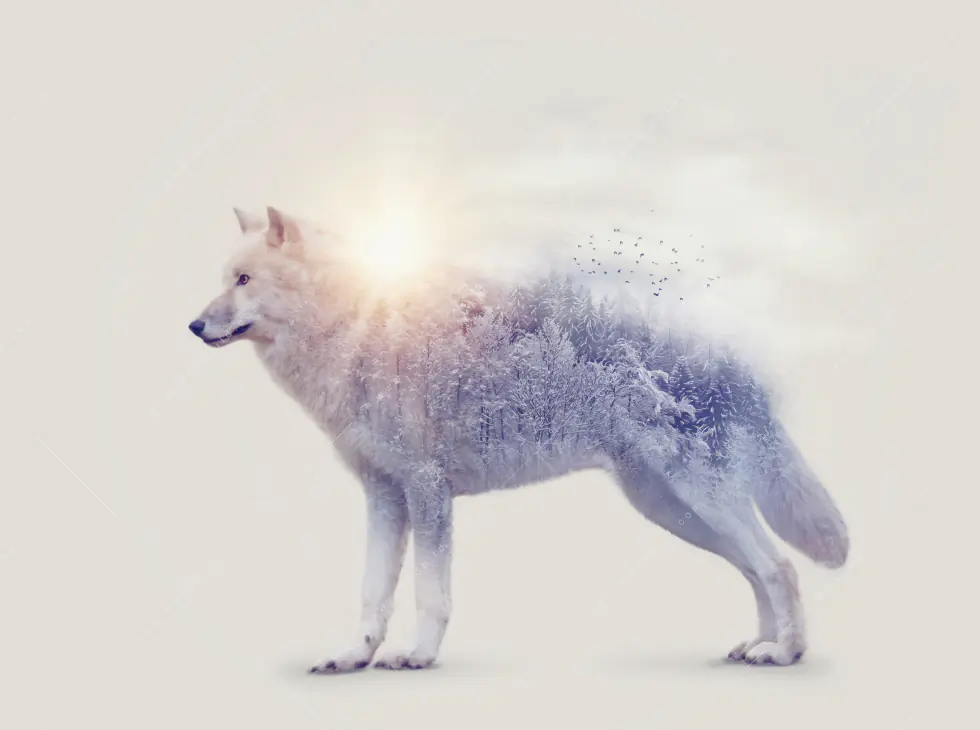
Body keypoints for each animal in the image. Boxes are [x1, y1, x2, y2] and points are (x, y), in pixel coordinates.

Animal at [188, 206, 848, 672]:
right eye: (224, 280)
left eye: (244, 280)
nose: (193, 325)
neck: (357, 328)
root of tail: (740, 357)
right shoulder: (383, 497)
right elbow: (372, 593)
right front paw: (354, 657)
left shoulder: (427, 492)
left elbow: (429, 592)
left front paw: (417, 657)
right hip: (674, 511)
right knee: (757, 571)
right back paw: (757, 645)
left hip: (697, 500)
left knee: (780, 567)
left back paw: (785, 654)